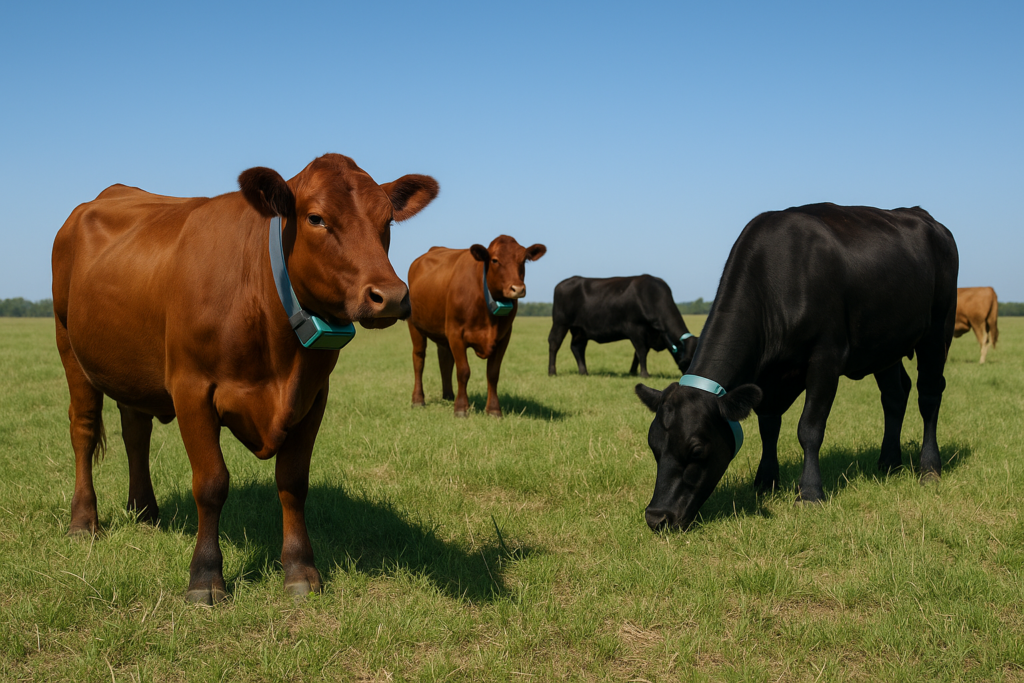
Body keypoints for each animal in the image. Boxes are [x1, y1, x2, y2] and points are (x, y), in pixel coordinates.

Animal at [52, 153, 439, 603]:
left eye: (387, 220)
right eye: (316, 218)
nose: (391, 297)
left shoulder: (313, 396)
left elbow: (293, 482)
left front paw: (300, 569)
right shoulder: (191, 388)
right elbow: (211, 483)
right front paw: (204, 577)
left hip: (131, 365)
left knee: (135, 430)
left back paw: (144, 511)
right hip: (69, 347)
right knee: (83, 430)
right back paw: (84, 522)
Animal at [407, 235, 546, 417]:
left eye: (523, 260)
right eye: (494, 260)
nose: (517, 289)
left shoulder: (504, 337)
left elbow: (493, 373)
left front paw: (493, 409)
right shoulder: (456, 334)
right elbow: (463, 371)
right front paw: (461, 409)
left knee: (445, 359)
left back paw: (448, 396)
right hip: (415, 326)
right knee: (419, 359)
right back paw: (418, 400)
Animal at [548, 275, 698, 378]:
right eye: (687, 361)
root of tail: (567, 281)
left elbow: (637, 354)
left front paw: (632, 372)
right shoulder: (634, 329)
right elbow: (641, 351)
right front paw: (644, 374)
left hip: (580, 330)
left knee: (577, 347)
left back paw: (584, 372)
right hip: (560, 323)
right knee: (554, 343)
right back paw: (552, 372)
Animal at [635, 203, 958, 532]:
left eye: (697, 450)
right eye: (654, 446)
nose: (657, 517)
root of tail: (921, 214)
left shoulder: (826, 357)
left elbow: (809, 428)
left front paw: (810, 493)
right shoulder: (767, 380)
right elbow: (768, 426)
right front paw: (765, 481)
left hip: (938, 327)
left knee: (929, 395)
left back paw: (929, 468)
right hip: (885, 344)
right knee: (895, 394)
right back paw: (889, 463)